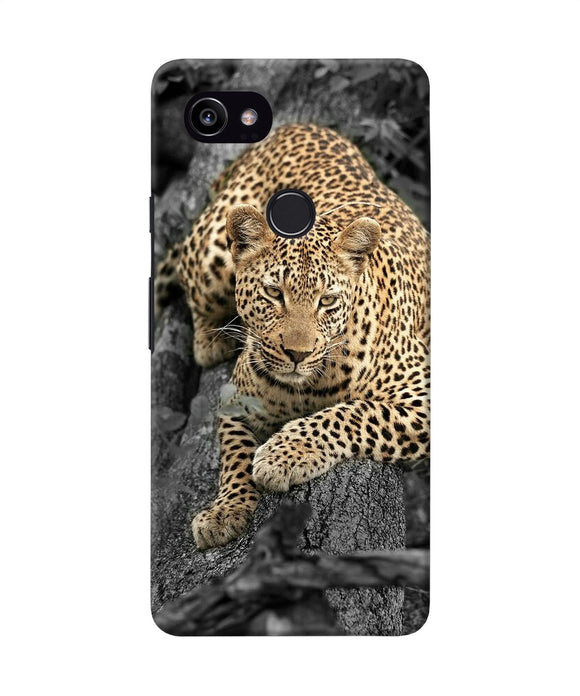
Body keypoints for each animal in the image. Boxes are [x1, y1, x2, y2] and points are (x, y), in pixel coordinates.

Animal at [155, 123, 430, 550]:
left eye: (327, 300)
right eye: (273, 293)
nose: (297, 354)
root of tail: (295, 126)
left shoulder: (422, 395)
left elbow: (353, 413)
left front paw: (283, 455)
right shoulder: (235, 399)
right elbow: (234, 454)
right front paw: (225, 511)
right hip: (212, 251)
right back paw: (211, 340)